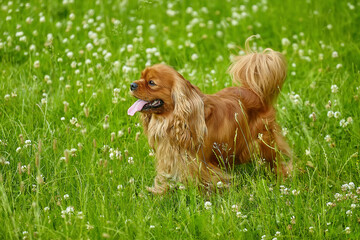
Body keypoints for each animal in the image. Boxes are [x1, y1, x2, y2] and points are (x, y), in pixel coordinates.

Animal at [128, 39, 292, 193]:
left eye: (151, 82)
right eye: (141, 77)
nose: (132, 84)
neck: (171, 119)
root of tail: (255, 92)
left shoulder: (199, 163)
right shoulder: (169, 158)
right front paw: (159, 192)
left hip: (264, 142)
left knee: (276, 161)